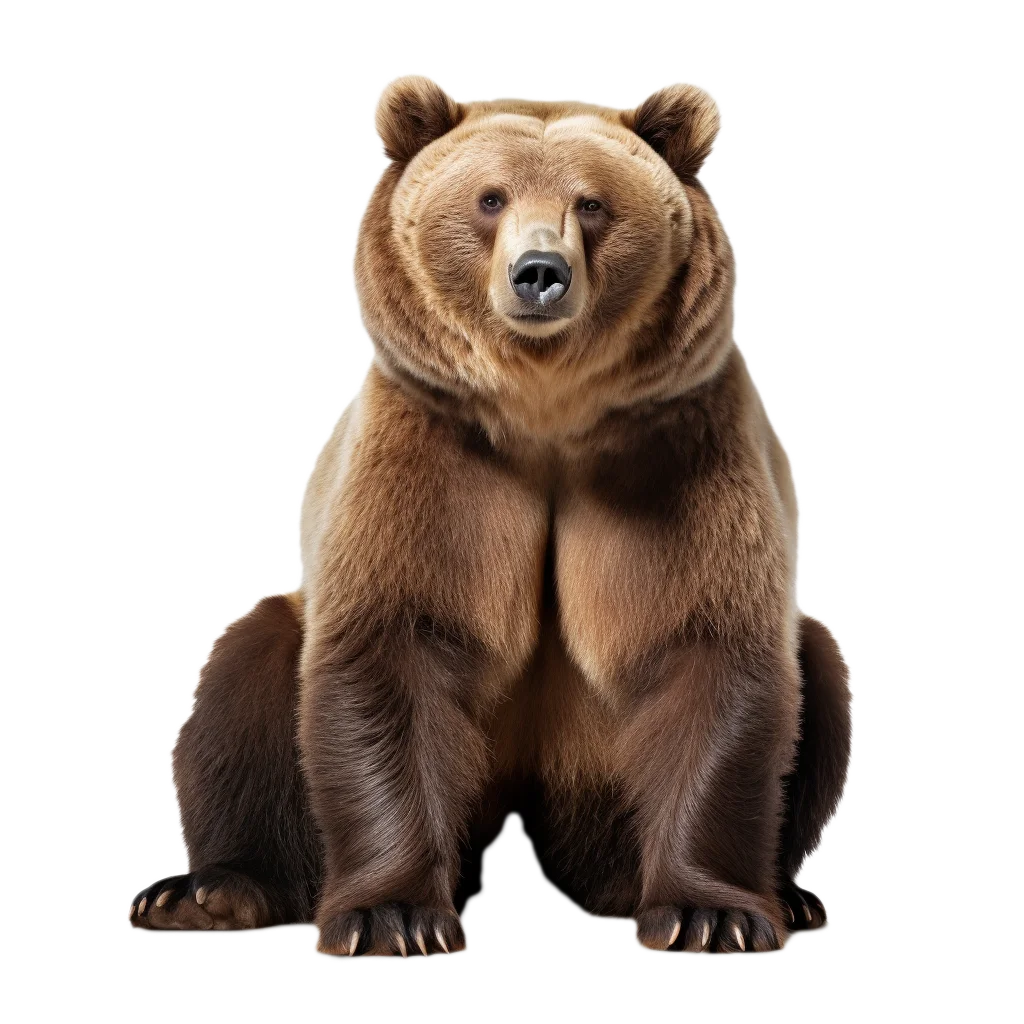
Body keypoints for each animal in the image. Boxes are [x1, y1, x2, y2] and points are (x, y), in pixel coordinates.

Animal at [128, 75, 853, 957]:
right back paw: (208, 891)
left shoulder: (675, 451)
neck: (544, 413)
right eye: (489, 197)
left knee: (819, 662)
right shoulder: (436, 457)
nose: (540, 272)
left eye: (593, 204)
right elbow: (394, 645)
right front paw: (393, 915)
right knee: (247, 667)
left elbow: (705, 648)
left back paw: (786, 895)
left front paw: (708, 914)